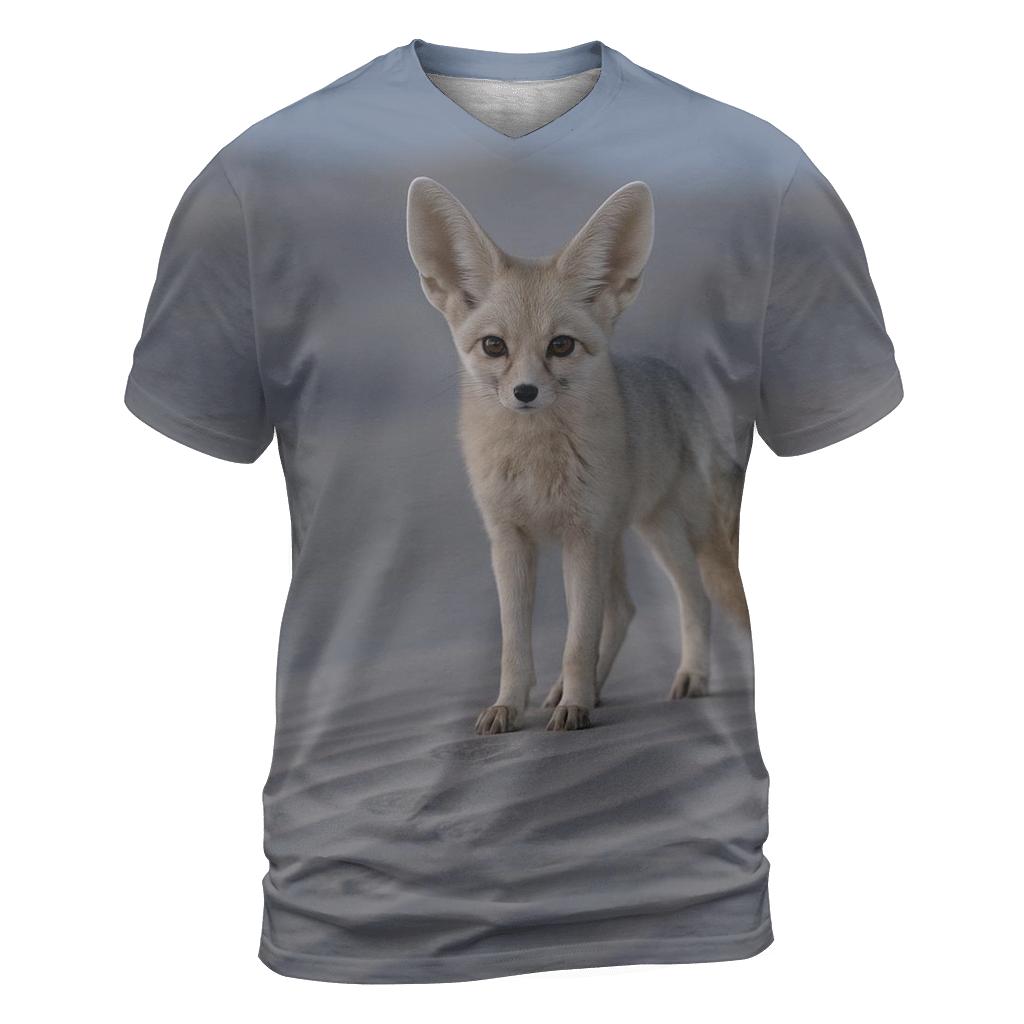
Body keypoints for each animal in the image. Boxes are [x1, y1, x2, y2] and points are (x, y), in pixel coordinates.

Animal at [406, 176, 749, 734]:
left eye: (561, 346)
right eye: (494, 346)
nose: (524, 392)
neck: (534, 462)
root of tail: (675, 378)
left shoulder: (581, 539)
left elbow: (576, 640)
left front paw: (575, 707)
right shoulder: (511, 541)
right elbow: (514, 645)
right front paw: (510, 705)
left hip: (661, 532)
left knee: (694, 596)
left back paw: (688, 677)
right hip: (621, 539)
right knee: (625, 610)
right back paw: (580, 690)